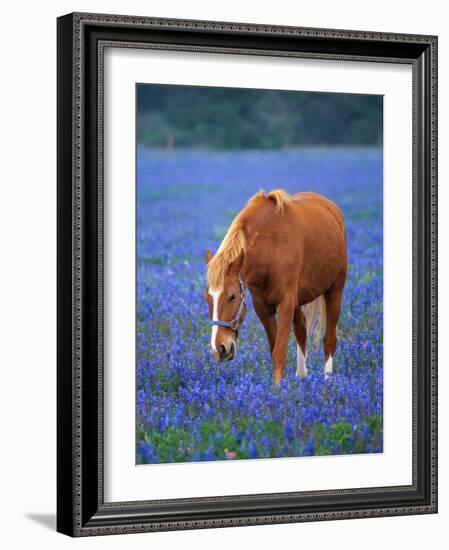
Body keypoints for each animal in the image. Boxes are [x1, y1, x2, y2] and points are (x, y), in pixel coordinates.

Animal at [203, 191, 346, 388]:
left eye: (232, 296)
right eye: (207, 298)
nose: (219, 349)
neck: (270, 248)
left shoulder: (285, 304)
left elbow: (279, 352)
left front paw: (277, 390)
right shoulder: (263, 308)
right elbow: (274, 349)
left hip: (335, 291)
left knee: (329, 340)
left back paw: (328, 381)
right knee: (301, 331)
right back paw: (301, 376)